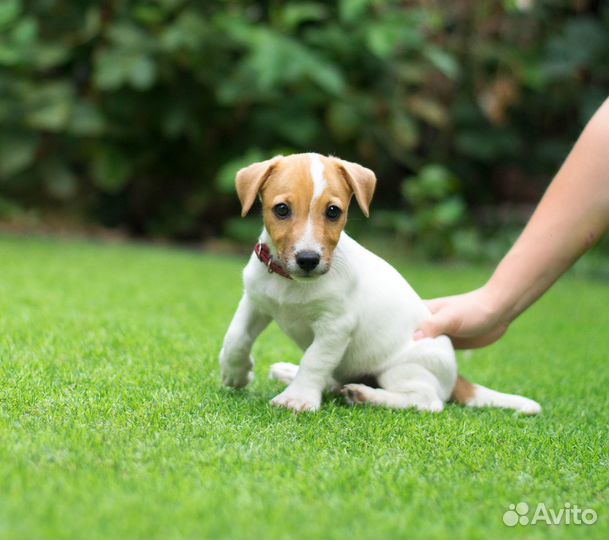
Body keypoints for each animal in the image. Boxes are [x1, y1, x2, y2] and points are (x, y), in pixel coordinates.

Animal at [218, 154, 540, 416]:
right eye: (282, 209)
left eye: (333, 211)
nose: (308, 259)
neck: (291, 284)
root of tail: (456, 376)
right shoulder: (256, 302)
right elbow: (236, 337)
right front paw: (236, 373)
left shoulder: (335, 327)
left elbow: (315, 360)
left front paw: (298, 398)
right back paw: (292, 373)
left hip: (403, 370)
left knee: (426, 401)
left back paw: (365, 395)